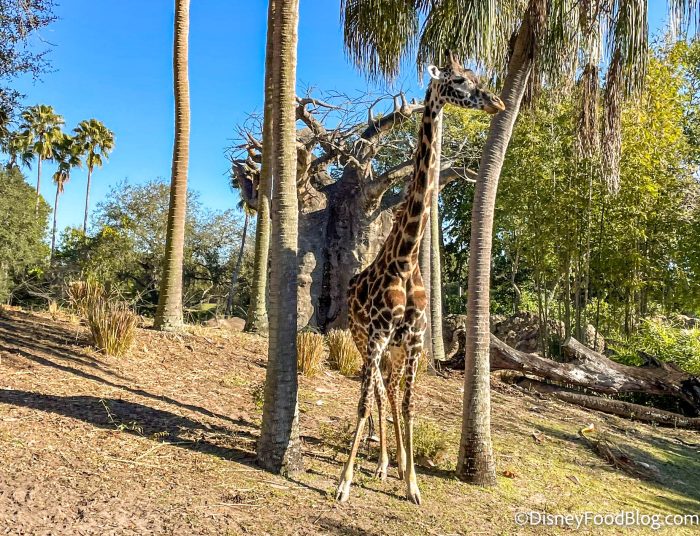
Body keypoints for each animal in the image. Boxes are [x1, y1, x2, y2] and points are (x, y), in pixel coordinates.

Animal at [336, 54, 505, 505]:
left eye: (478, 76)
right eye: (460, 80)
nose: (498, 102)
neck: (407, 257)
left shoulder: (412, 340)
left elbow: (411, 405)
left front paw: (412, 483)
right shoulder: (378, 337)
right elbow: (364, 403)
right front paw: (344, 483)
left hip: (392, 350)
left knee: (392, 392)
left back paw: (391, 465)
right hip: (362, 340)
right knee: (379, 392)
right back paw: (378, 462)